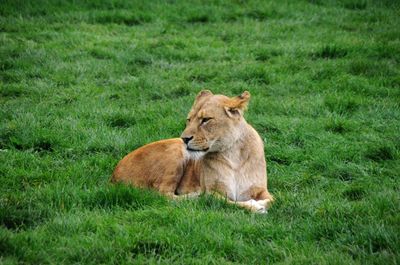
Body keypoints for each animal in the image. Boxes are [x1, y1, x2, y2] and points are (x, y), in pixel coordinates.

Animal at [112, 89, 276, 211]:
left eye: (206, 120)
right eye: (189, 120)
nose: (184, 139)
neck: (232, 153)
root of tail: (114, 174)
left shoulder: (261, 189)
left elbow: (273, 200)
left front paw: (260, 203)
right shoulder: (214, 191)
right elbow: (227, 201)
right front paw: (255, 206)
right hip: (175, 153)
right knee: (164, 195)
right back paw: (196, 196)